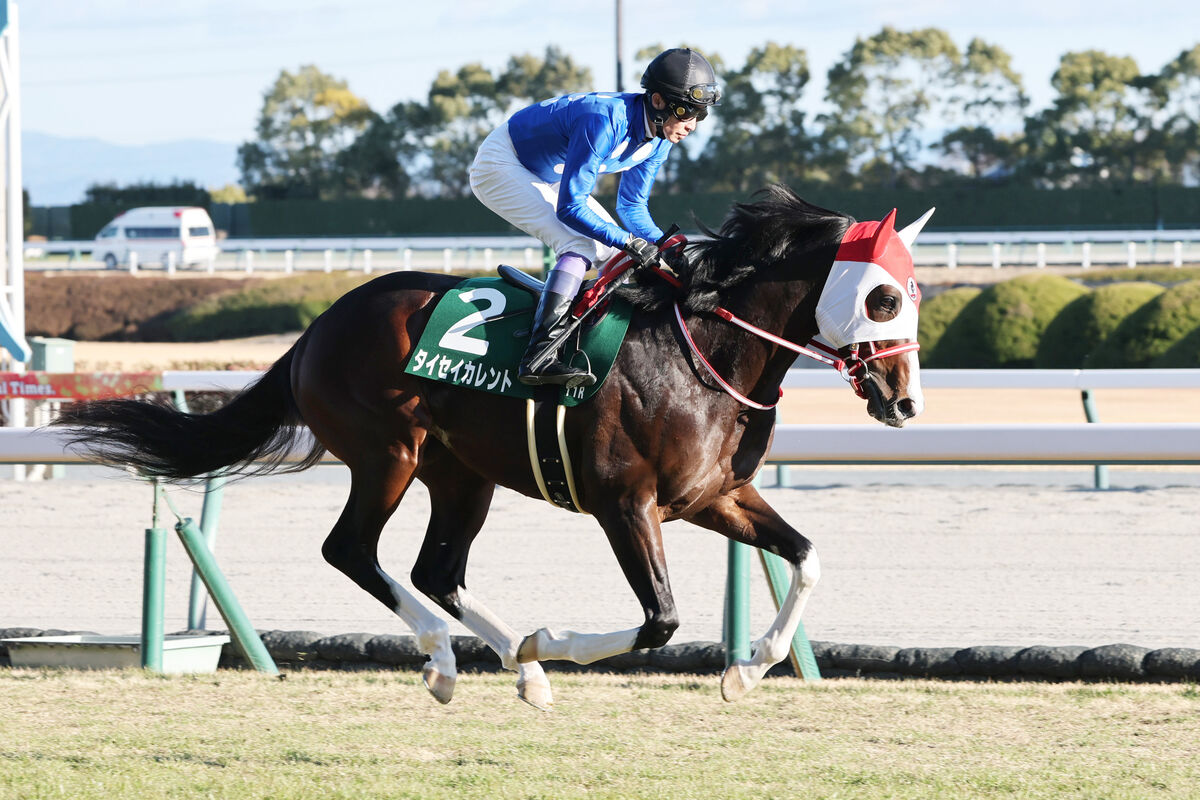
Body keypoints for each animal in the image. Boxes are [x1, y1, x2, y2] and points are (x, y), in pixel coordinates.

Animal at [54, 184, 926, 710]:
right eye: (884, 297)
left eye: (913, 292)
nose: (905, 399)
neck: (701, 347)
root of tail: (318, 325)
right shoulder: (625, 503)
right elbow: (660, 620)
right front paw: (556, 640)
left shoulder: (713, 496)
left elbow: (807, 557)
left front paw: (747, 669)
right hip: (388, 453)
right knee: (352, 550)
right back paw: (450, 659)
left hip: (461, 474)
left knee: (435, 571)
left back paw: (525, 672)